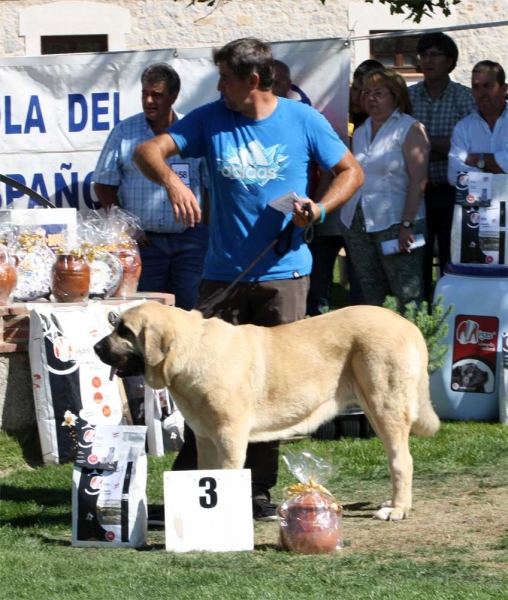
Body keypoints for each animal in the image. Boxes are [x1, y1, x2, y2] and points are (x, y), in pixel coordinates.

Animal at [95, 300, 440, 520]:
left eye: (124, 330)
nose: (97, 348)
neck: (190, 350)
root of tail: (409, 326)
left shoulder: (229, 436)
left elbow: (225, 475)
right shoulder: (205, 438)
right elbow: (204, 473)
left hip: (384, 406)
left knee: (401, 461)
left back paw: (397, 509)